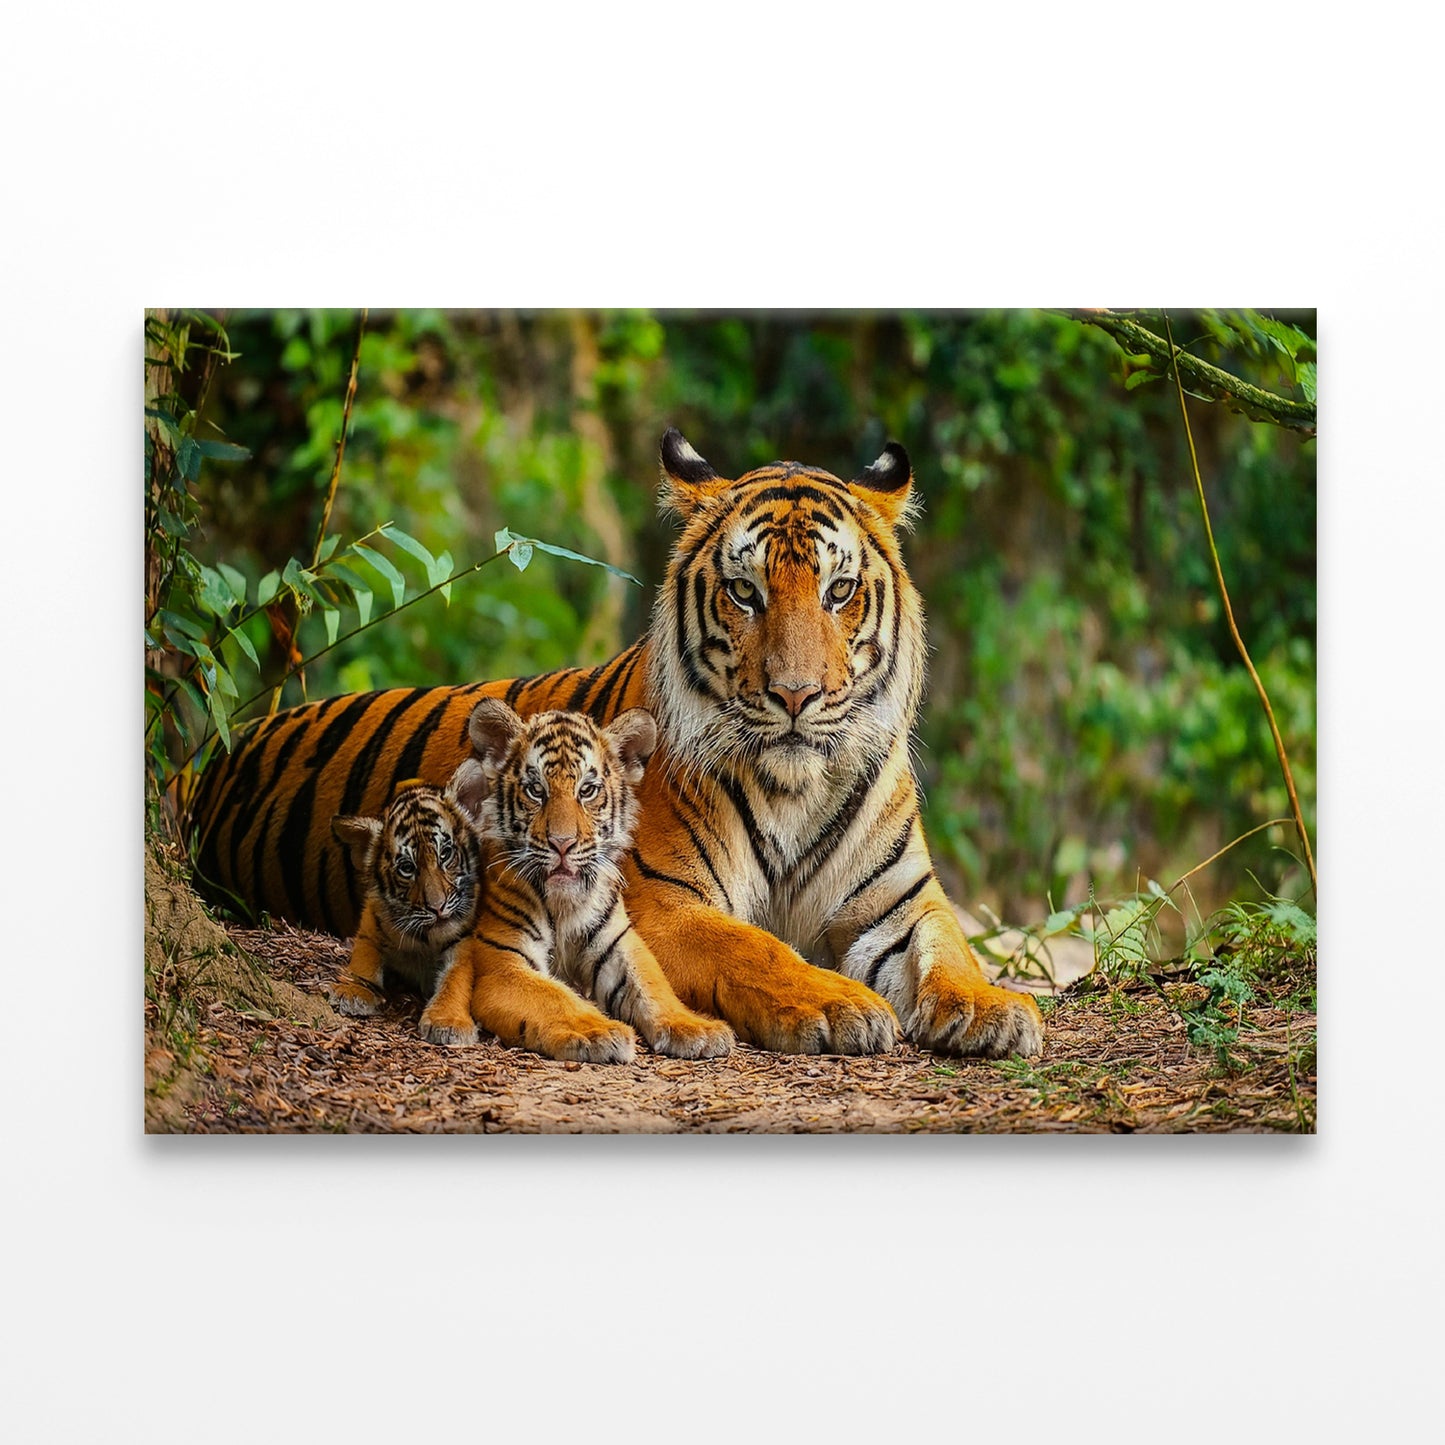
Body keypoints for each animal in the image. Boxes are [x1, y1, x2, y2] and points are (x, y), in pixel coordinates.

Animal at [186, 428, 1044, 1059]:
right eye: (745, 591)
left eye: (840, 590)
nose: (795, 696)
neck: (794, 787)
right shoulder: (655, 898)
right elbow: (754, 948)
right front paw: (836, 1002)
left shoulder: (900, 897)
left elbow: (950, 946)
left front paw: (992, 1007)